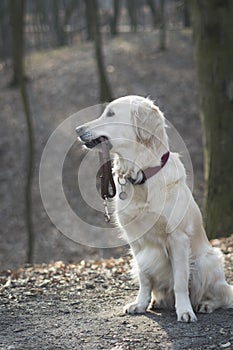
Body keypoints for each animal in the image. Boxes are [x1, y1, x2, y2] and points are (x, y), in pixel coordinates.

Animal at [76, 94, 233, 322]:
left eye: (111, 114)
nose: (77, 129)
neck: (141, 174)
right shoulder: (136, 241)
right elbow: (145, 277)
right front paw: (141, 304)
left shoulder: (178, 238)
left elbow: (180, 281)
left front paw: (184, 311)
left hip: (207, 261)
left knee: (224, 296)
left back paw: (205, 304)